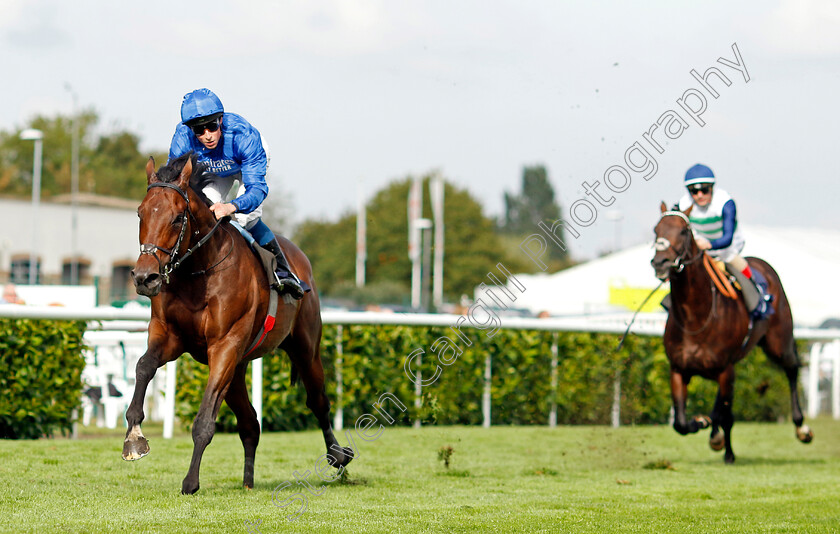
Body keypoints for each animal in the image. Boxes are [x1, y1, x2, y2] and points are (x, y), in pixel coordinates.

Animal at [121, 154, 352, 494]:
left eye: (177, 218)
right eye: (140, 213)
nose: (144, 277)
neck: (199, 272)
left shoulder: (225, 345)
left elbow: (204, 421)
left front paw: (190, 481)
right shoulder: (170, 336)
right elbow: (143, 366)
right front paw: (134, 436)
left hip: (304, 349)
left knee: (318, 402)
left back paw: (338, 455)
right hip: (238, 367)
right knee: (250, 423)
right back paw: (248, 483)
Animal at [648, 203, 812, 462]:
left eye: (684, 230)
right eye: (656, 229)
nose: (661, 262)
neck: (696, 318)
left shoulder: (725, 370)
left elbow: (723, 414)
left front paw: (725, 448)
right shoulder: (679, 369)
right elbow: (681, 423)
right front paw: (702, 424)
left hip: (778, 343)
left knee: (792, 369)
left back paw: (802, 427)